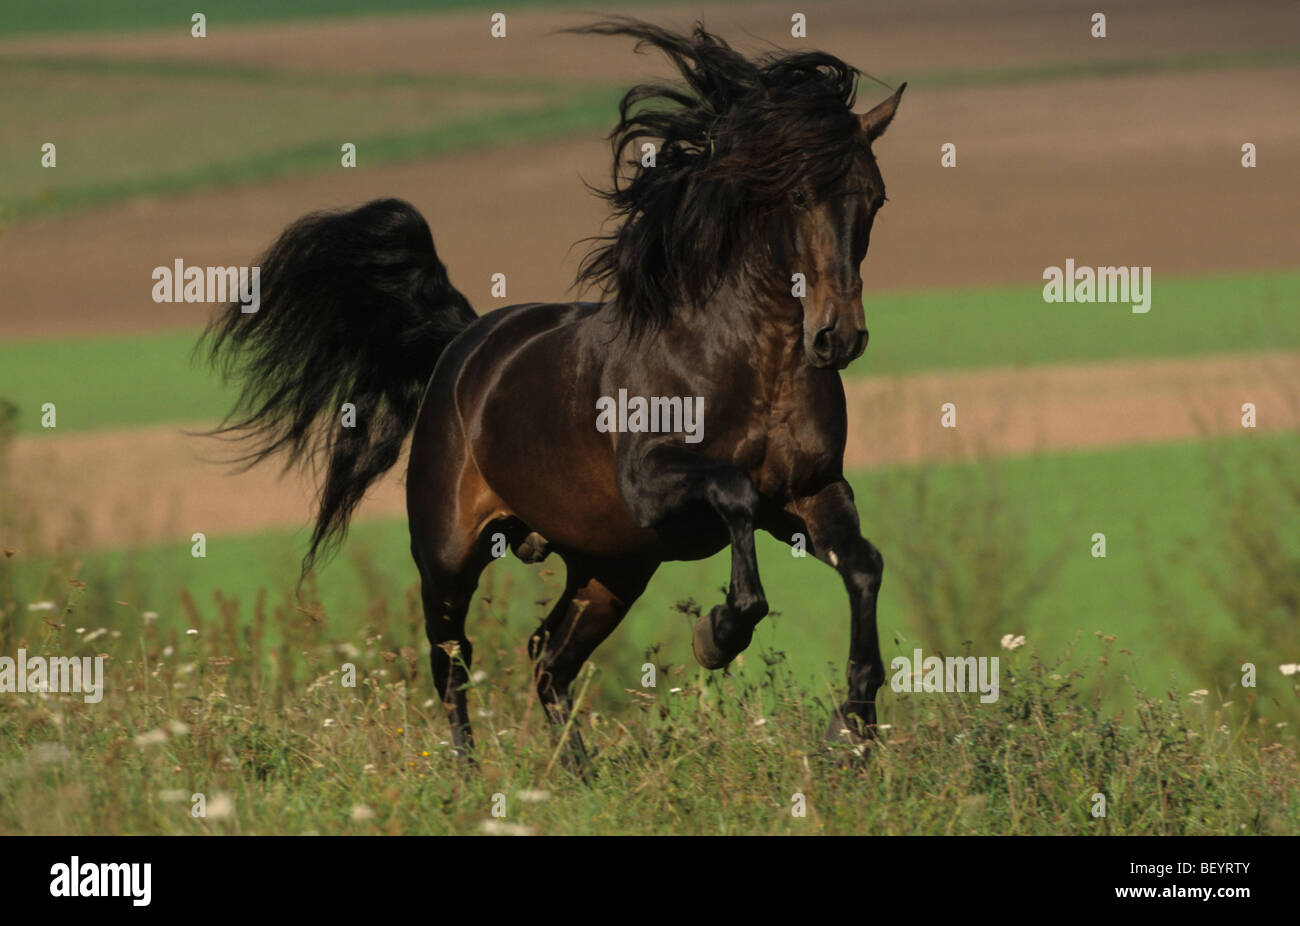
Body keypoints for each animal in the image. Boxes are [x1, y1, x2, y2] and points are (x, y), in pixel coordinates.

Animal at [208, 21, 909, 764]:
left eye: (875, 198)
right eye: (798, 195)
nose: (838, 337)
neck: (751, 361)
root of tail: (464, 345)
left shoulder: (810, 492)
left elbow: (864, 565)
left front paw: (853, 728)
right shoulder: (654, 482)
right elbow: (735, 493)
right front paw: (718, 635)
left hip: (611, 569)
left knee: (547, 655)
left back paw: (576, 769)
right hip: (450, 554)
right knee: (452, 657)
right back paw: (469, 769)